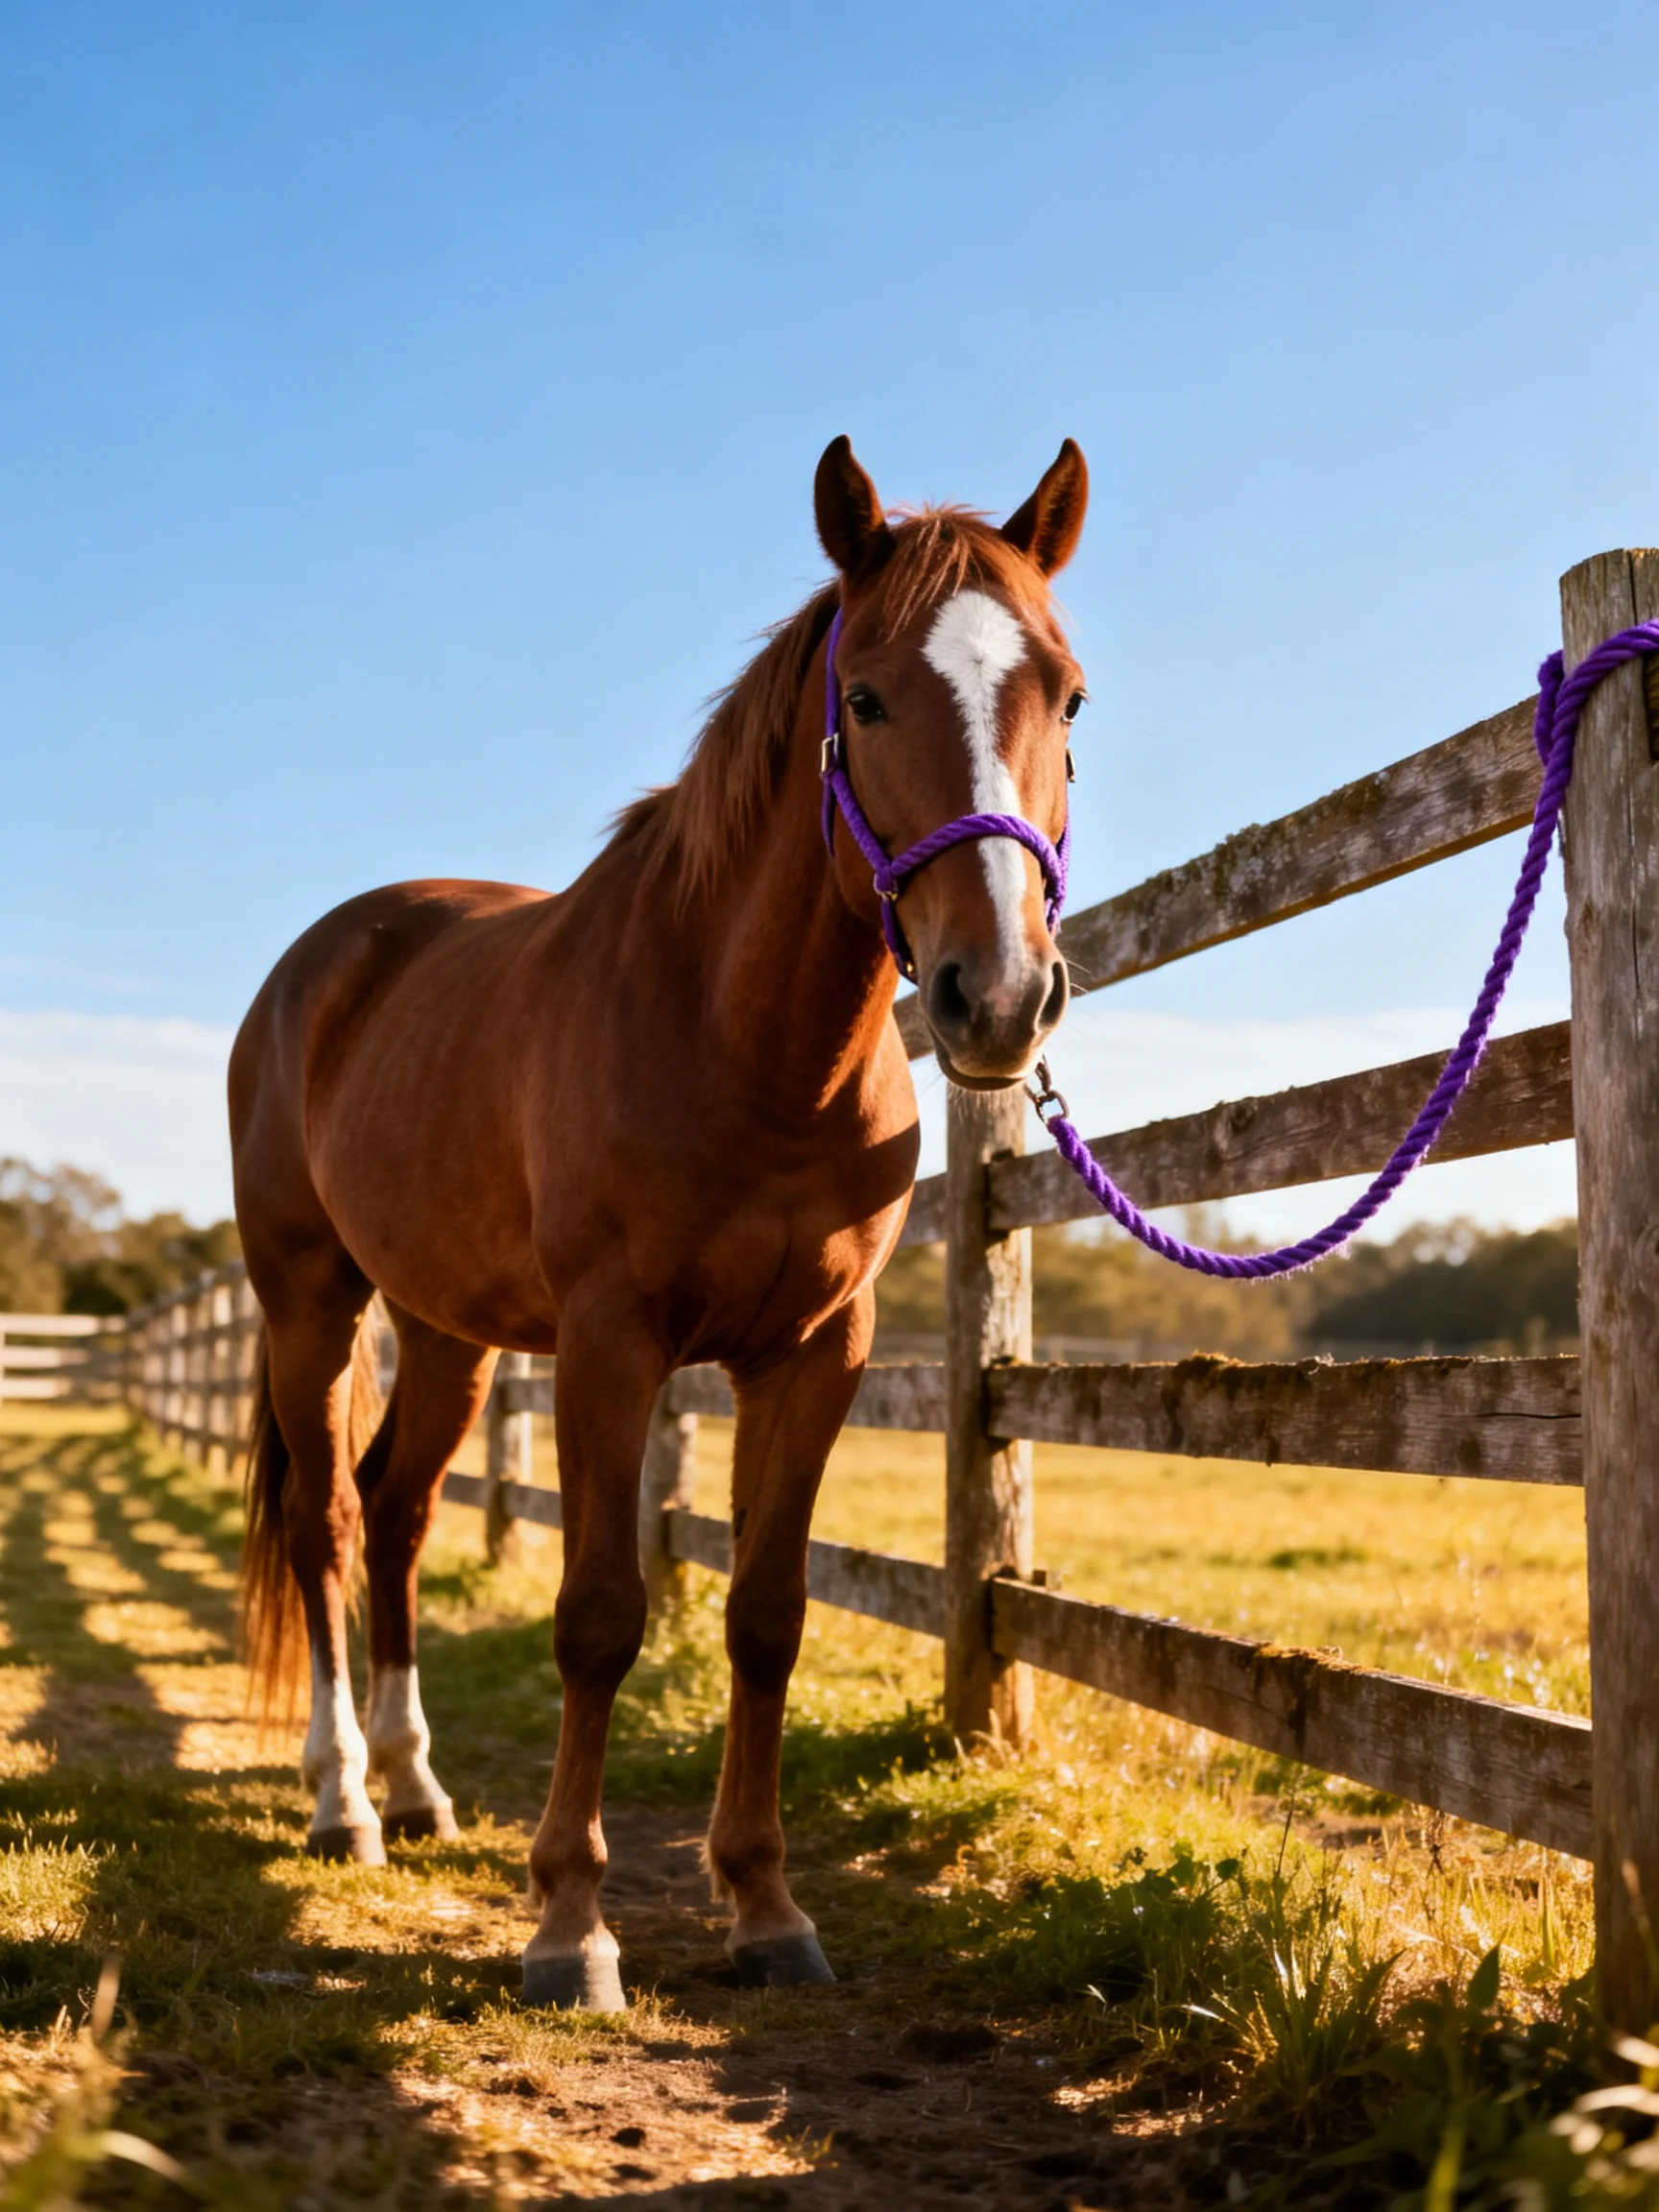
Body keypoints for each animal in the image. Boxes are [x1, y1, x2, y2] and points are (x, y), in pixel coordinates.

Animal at [229, 434, 1089, 2008]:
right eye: (867, 697)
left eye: (1064, 693)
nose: (997, 997)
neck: (746, 1045)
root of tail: (326, 962)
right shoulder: (612, 1345)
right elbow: (598, 1617)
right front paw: (571, 1924)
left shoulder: (815, 1353)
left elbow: (766, 1616)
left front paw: (763, 1904)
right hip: (311, 1303)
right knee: (326, 1521)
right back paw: (341, 1802)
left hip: (445, 1330)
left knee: (396, 1511)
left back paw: (417, 1787)